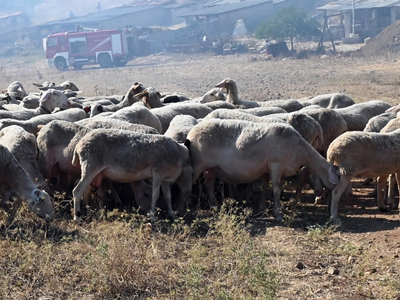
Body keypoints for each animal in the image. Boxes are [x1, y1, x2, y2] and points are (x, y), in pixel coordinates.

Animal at [186, 119, 340, 220]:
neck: (300, 150)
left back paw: (216, 206)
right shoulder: (276, 165)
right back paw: (188, 210)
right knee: (189, 185)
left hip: (212, 168)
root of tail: (191, 133)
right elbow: (276, 190)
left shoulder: (269, 169)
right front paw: (278, 213)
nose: (320, 193)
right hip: (198, 164)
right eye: (311, 174)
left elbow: (267, 187)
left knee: (209, 185)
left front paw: (264, 207)